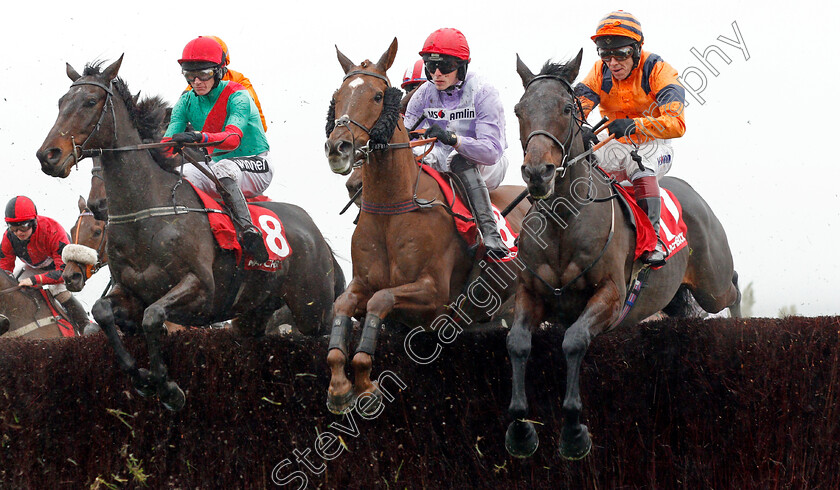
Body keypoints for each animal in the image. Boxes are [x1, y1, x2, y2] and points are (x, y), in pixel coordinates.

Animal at [36, 56, 344, 410]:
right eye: (61, 102)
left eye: (89, 101)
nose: (48, 155)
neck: (148, 214)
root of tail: (316, 234)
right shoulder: (129, 293)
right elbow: (103, 313)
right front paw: (142, 378)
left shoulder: (200, 289)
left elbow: (153, 316)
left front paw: (167, 386)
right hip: (254, 314)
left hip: (314, 308)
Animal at [324, 38, 532, 414]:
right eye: (338, 96)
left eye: (378, 95)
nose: (338, 147)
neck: (392, 211)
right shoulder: (361, 283)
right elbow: (343, 305)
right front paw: (340, 387)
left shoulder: (433, 295)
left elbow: (381, 300)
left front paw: (365, 383)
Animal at [502, 52, 740, 460]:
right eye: (519, 110)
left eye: (567, 108)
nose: (537, 173)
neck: (564, 222)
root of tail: (693, 194)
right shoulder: (530, 293)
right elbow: (517, 344)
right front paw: (520, 430)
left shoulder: (610, 296)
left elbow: (574, 341)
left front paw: (574, 433)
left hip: (712, 284)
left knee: (735, 287)